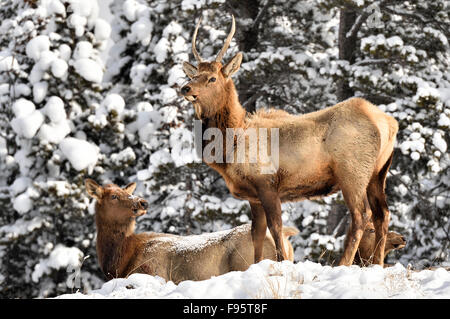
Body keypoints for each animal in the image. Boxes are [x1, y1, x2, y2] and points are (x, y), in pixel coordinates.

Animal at [86, 180, 300, 282]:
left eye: (126, 192)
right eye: (113, 196)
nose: (142, 202)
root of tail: (286, 236)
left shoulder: (152, 272)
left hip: (246, 261)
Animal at [179, 15, 398, 268]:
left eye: (212, 78)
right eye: (193, 75)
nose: (185, 88)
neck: (232, 145)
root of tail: (389, 123)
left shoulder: (268, 184)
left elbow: (276, 229)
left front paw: (282, 262)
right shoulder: (253, 196)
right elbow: (257, 234)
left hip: (352, 172)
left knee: (362, 215)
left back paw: (344, 263)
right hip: (379, 172)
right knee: (383, 214)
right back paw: (378, 263)